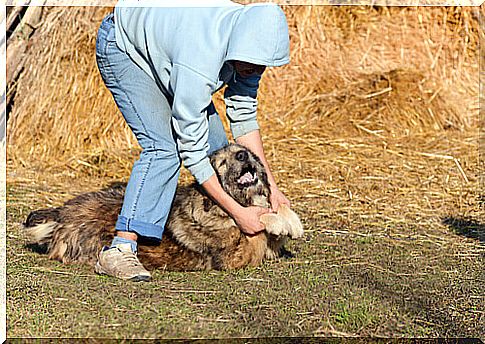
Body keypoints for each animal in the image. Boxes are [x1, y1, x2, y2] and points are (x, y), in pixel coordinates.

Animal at [24, 144, 302, 272]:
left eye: (242, 152)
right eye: (223, 163)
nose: (244, 155)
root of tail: (62, 213)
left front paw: (290, 219)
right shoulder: (235, 257)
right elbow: (259, 222)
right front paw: (272, 219)